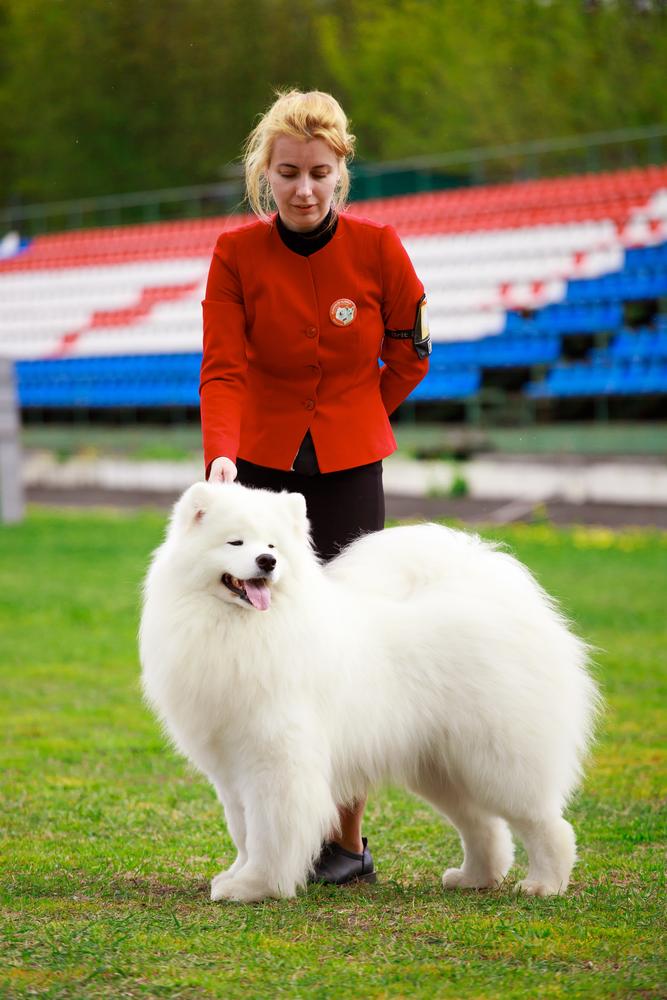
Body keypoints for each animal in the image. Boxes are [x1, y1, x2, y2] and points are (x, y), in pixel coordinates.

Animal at [141, 480, 600, 904]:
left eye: (272, 545)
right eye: (235, 541)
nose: (267, 561)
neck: (244, 629)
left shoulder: (277, 759)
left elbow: (269, 831)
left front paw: (256, 886)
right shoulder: (230, 766)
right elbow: (243, 831)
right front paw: (236, 876)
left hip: (498, 759)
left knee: (546, 824)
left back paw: (544, 884)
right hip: (443, 765)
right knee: (484, 826)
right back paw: (474, 878)